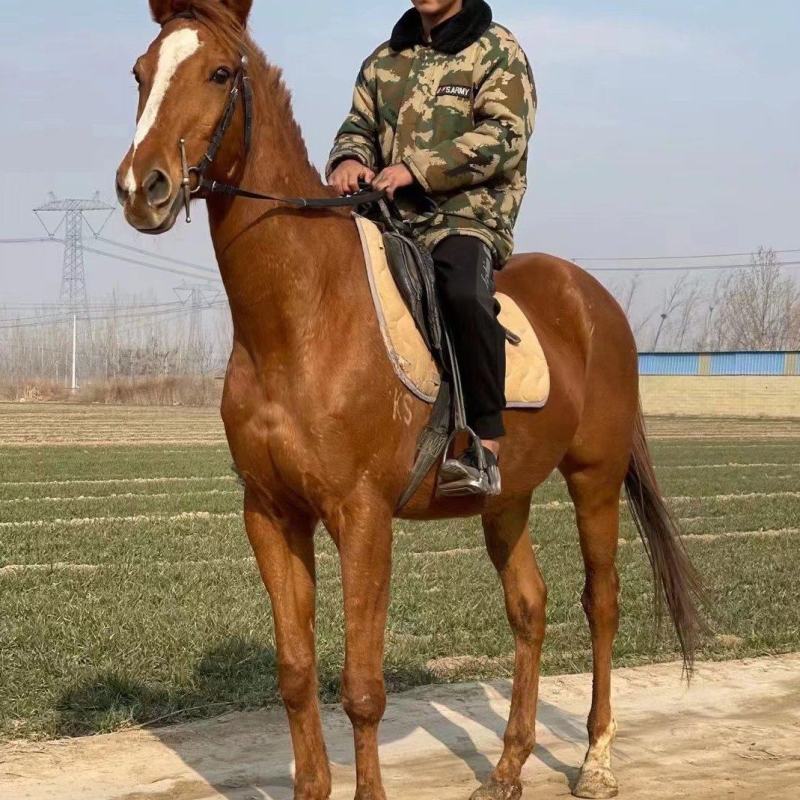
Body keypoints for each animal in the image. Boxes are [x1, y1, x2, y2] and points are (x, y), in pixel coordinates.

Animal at [115, 2, 703, 799]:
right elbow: (296, 673)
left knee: (600, 603)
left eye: (218, 72)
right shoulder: (270, 515)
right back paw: (507, 769)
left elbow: (362, 687)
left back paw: (596, 762)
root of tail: (595, 301)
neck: (302, 316)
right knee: (530, 608)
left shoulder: (363, 518)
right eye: (140, 72)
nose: (141, 187)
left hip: (595, 479)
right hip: (507, 496)